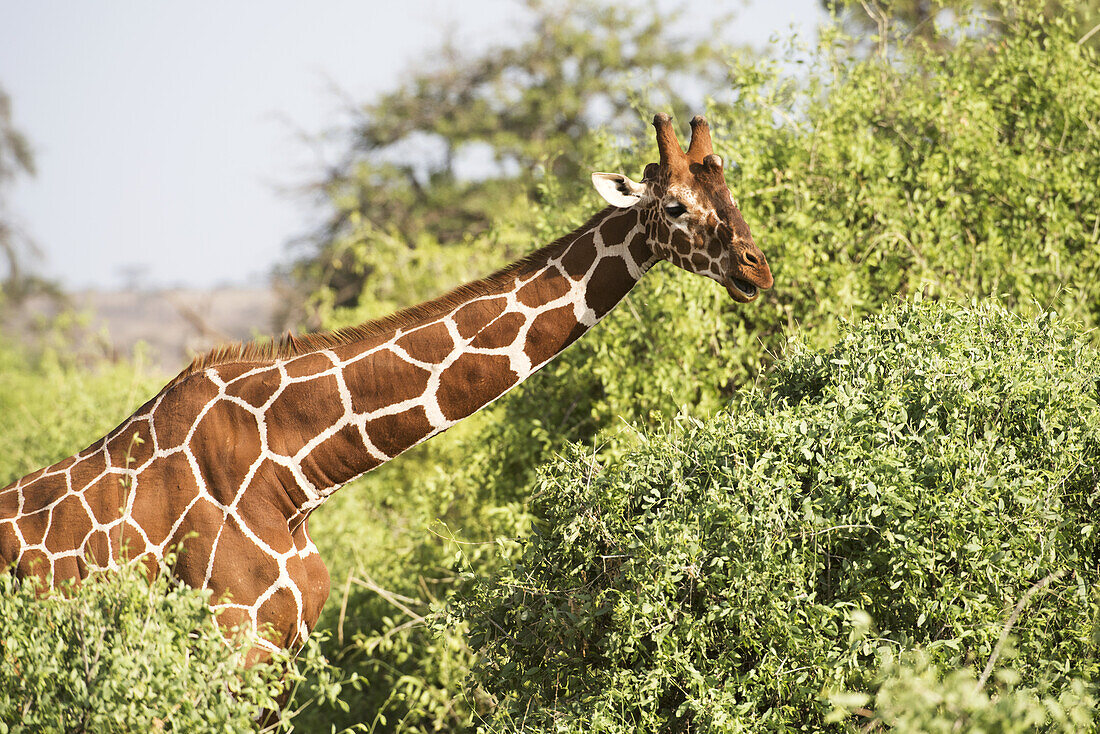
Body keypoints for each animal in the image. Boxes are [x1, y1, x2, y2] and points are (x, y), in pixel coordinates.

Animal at [2, 113, 774, 660]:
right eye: (674, 207)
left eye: (731, 194)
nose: (756, 267)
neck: (293, 473)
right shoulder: (233, 643)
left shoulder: (283, 651)